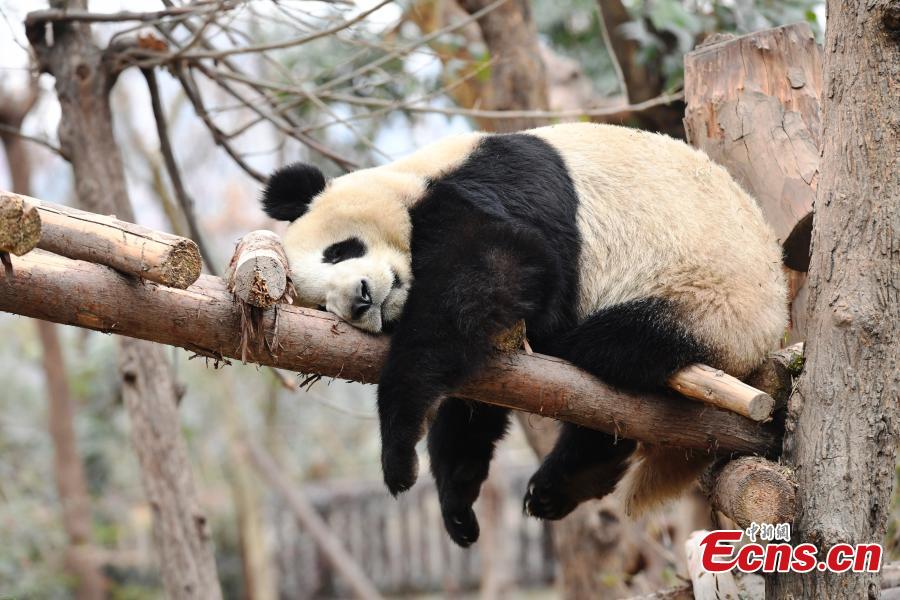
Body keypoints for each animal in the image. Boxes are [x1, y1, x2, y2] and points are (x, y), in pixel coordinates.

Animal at [261, 122, 787, 548]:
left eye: (338, 251)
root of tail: (764, 346)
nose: (361, 299)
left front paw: (397, 452)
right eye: (322, 305)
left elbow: (497, 269)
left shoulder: (490, 186)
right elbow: (473, 388)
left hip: (706, 299)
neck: (418, 176)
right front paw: (456, 503)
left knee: (610, 358)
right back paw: (562, 486)